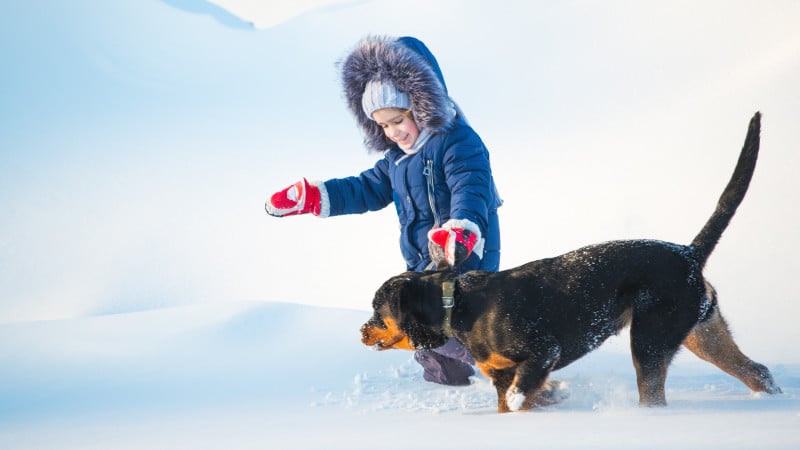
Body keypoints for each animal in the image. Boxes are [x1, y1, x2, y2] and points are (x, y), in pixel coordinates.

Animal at [360, 112, 780, 412]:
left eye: (378, 310)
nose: (362, 331)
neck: (457, 305)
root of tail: (687, 253)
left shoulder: (542, 352)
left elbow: (519, 396)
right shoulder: (502, 374)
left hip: (651, 337)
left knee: (654, 392)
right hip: (700, 330)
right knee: (757, 371)